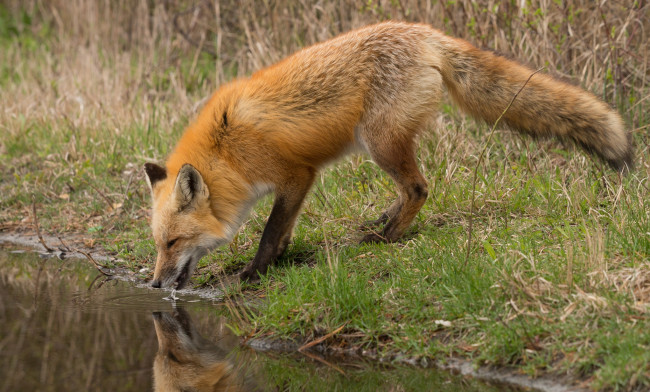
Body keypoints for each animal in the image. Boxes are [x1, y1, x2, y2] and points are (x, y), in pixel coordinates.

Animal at [144, 21, 632, 290]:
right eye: (158, 244)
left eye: (173, 243)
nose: (153, 282)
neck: (225, 150)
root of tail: (423, 32)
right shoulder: (292, 181)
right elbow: (279, 232)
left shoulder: (297, 175)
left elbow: (270, 233)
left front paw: (253, 273)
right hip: (377, 143)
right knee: (406, 190)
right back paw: (382, 222)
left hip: (379, 141)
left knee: (418, 188)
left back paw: (387, 238)